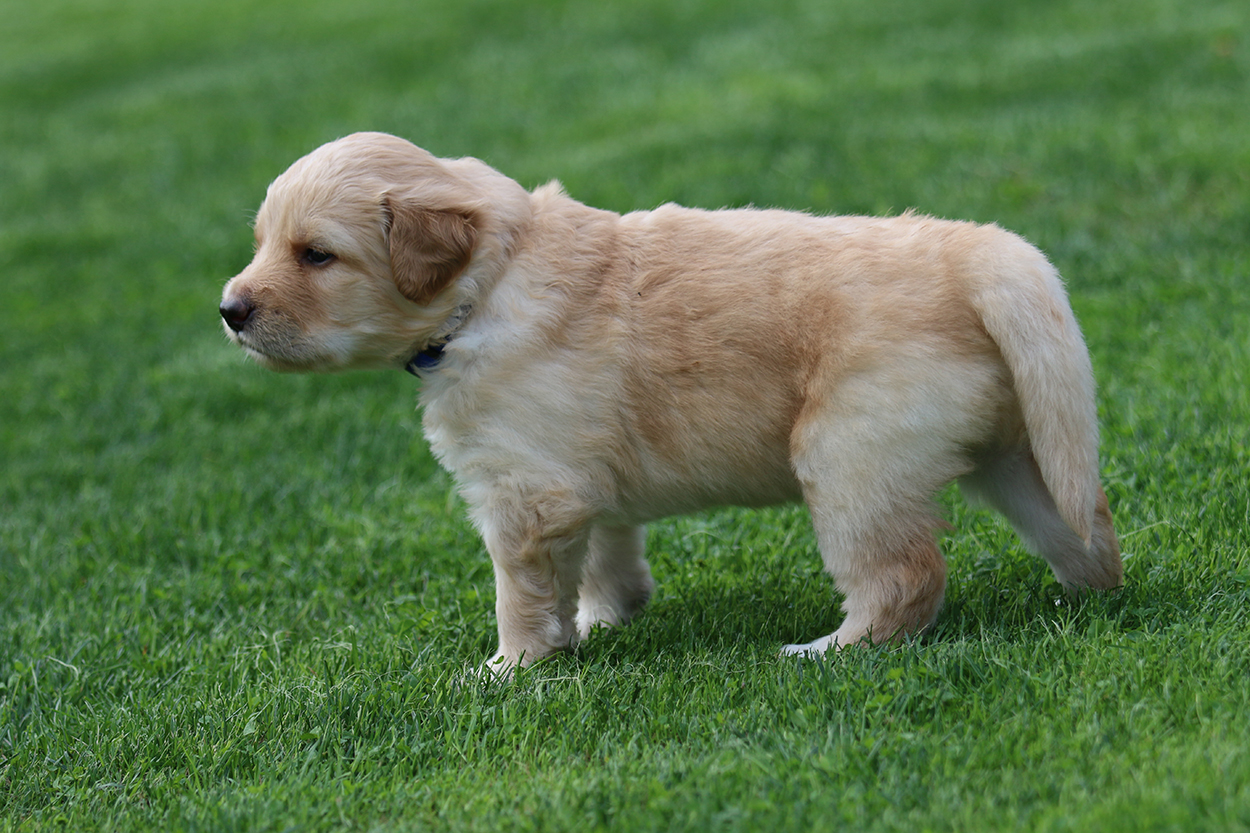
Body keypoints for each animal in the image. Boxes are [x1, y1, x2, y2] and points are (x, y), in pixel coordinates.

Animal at [220, 132, 1122, 673]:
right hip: (1019, 449)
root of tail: (974, 252)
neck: (489, 283)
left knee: (904, 576)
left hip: (850, 459)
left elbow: (521, 591)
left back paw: (826, 650)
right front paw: (602, 621)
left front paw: (512, 667)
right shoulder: (581, 483)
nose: (229, 309)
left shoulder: (523, 489)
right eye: (264, 244)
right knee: (1085, 523)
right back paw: (1086, 602)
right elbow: (605, 555)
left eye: (316, 255)